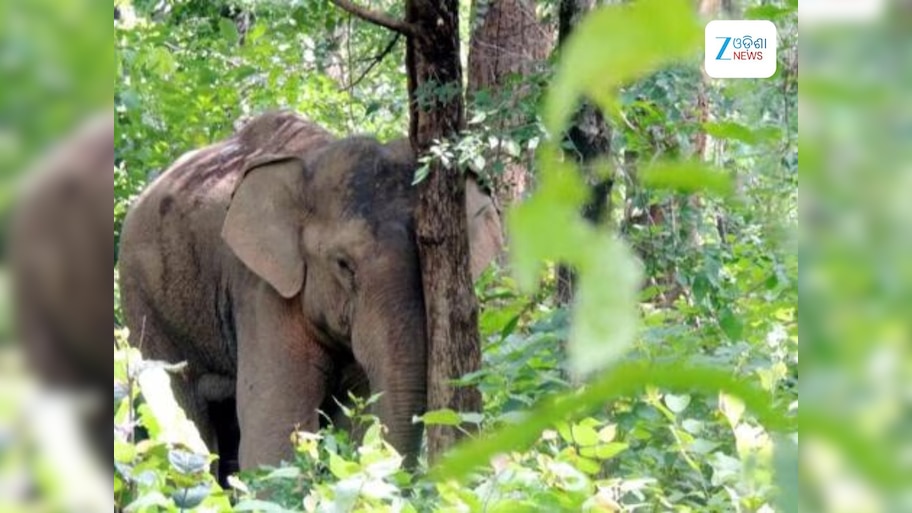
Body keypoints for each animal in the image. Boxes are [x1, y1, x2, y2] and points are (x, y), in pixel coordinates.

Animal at [117, 111, 502, 481]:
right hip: (143, 302)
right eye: (343, 264)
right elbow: (274, 435)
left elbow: (354, 417)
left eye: (427, 253)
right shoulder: (263, 291)